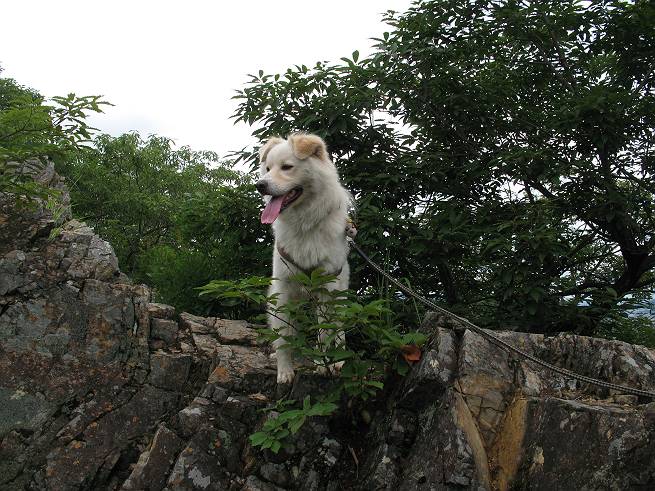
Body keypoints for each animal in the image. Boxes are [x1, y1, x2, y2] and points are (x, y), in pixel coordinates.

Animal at [256, 133, 352, 384]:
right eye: (267, 169)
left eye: (287, 167)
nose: (260, 185)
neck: (305, 222)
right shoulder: (283, 289)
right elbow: (284, 336)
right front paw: (285, 371)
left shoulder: (325, 286)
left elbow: (324, 332)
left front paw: (324, 365)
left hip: (339, 294)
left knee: (337, 328)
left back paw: (337, 361)